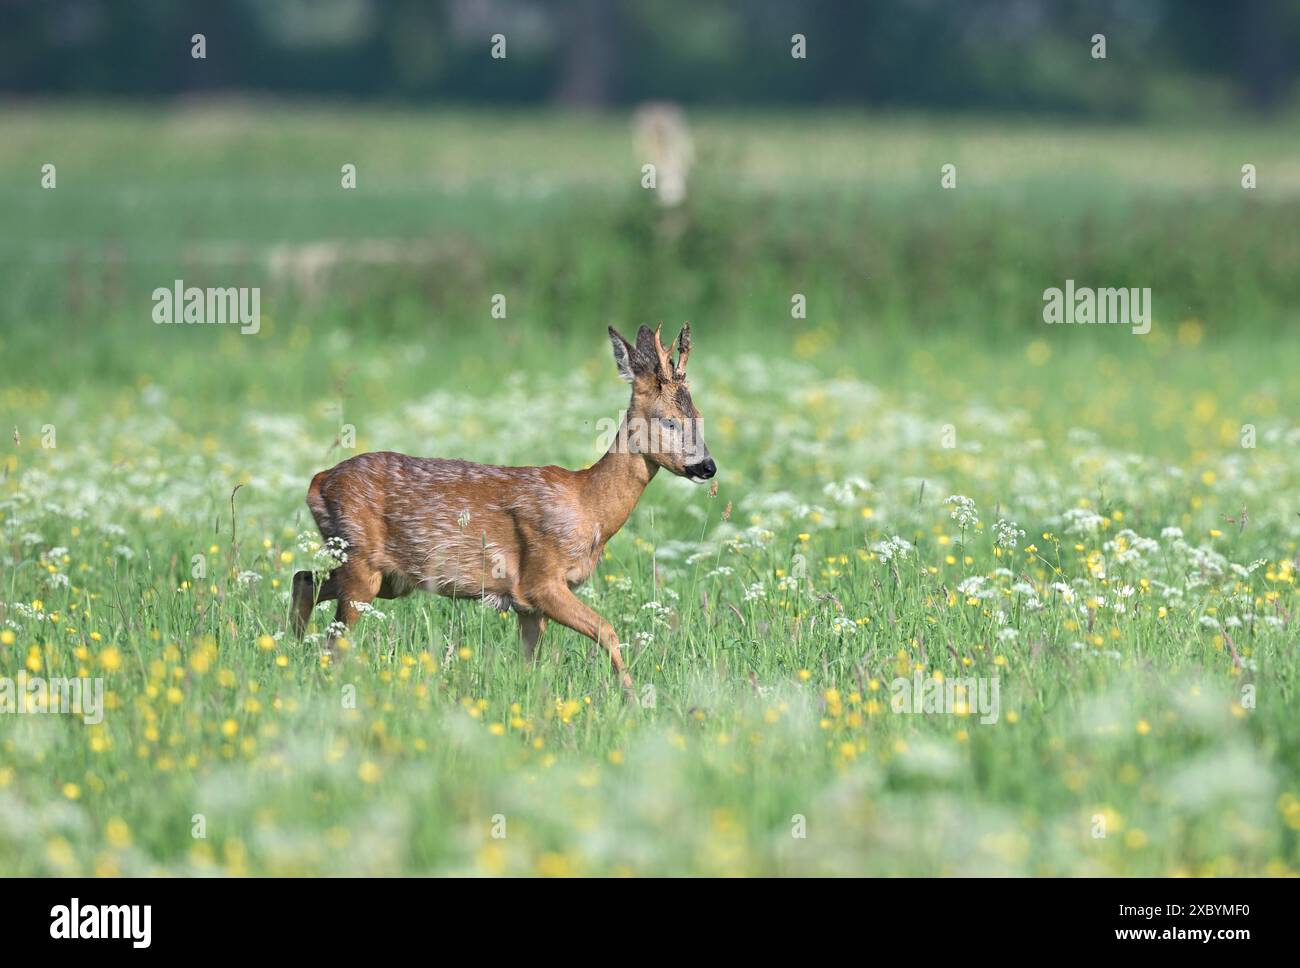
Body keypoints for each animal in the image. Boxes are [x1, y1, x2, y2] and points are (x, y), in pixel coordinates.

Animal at [291, 324, 717, 696]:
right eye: (669, 421)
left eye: (699, 418)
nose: (708, 467)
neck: (588, 506)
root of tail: (318, 482)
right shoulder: (541, 581)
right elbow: (606, 630)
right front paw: (633, 697)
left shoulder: (528, 606)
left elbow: (530, 662)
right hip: (362, 561)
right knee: (334, 637)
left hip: (388, 580)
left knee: (304, 579)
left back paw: (291, 650)